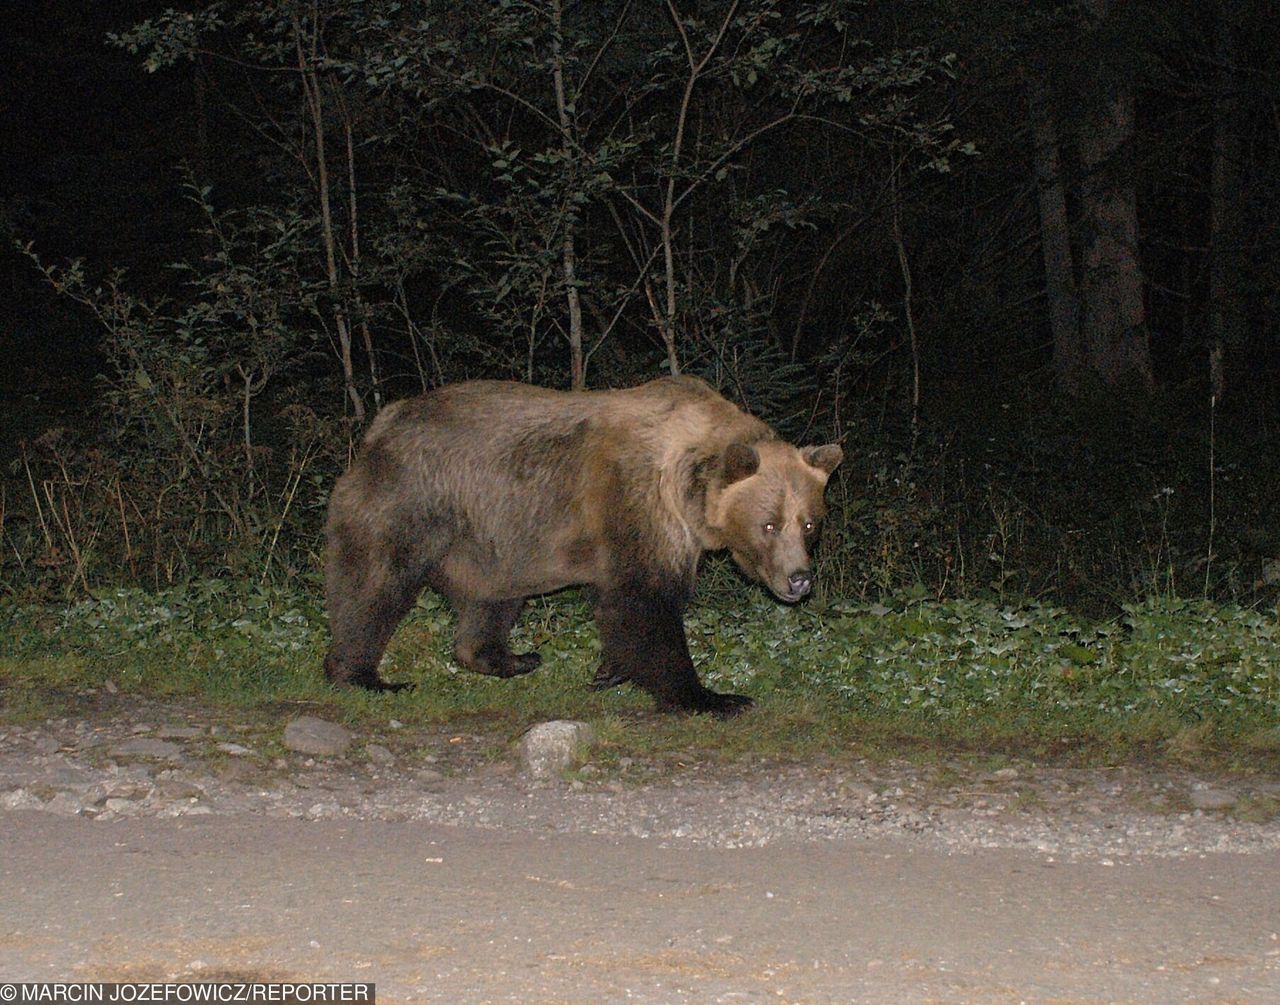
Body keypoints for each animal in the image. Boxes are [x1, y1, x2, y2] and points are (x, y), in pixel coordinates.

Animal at [320, 373, 839, 711]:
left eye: (810, 524)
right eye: (768, 524)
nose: (798, 580)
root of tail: (384, 422)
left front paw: (609, 670)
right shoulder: (638, 504)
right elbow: (645, 601)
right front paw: (710, 696)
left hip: (495, 537)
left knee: (492, 599)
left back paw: (511, 657)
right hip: (414, 499)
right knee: (374, 584)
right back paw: (364, 675)